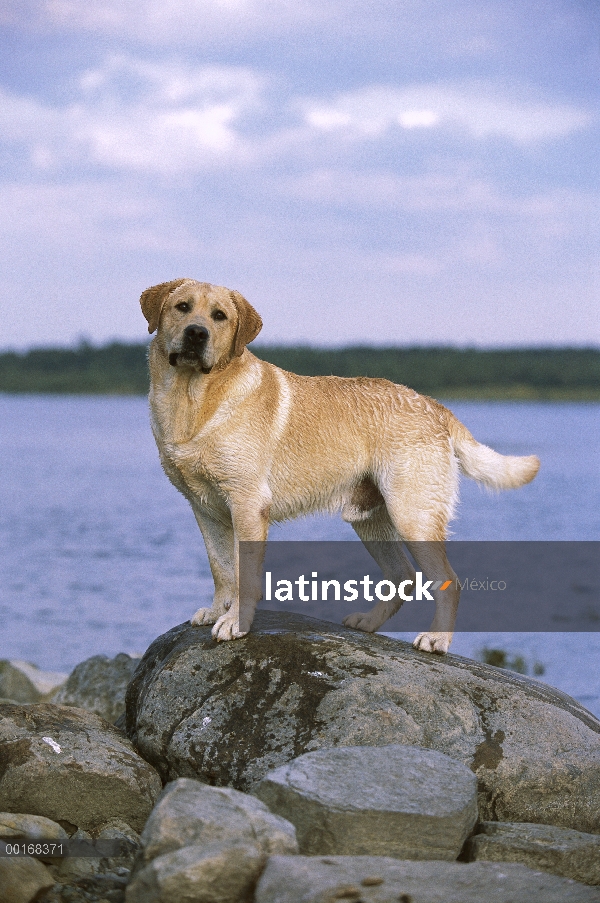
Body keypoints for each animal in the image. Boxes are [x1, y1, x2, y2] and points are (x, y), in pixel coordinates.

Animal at [141, 278, 540, 652]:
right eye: (182, 307)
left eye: (220, 316)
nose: (197, 333)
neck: (192, 400)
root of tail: (433, 405)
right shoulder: (206, 509)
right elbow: (221, 569)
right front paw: (217, 611)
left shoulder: (247, 504)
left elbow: (245, 576)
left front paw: (235, 622)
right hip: (371, 521)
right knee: (404, 577)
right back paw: (368, 623)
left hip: (413, 516)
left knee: (448, 581)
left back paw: (436, 640)